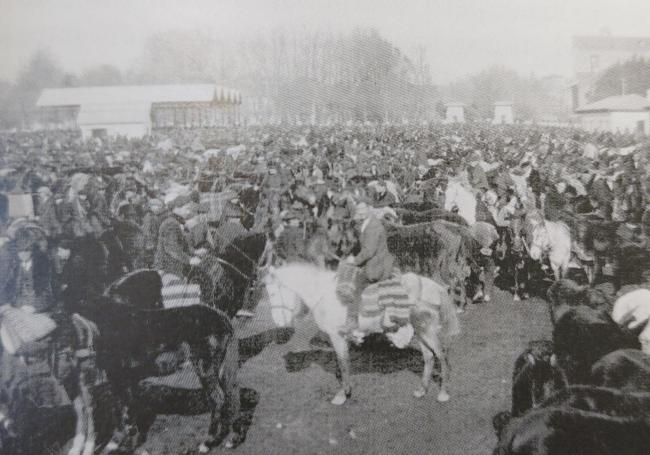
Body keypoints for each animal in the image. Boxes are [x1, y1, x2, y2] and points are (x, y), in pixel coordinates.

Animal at [260, 264, 458, 406]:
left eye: (274, 292)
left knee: (443, 356)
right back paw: (422, 390)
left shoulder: (337, 336)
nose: (278, 322)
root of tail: (434, 286)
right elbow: (344, 363)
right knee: (429, 357)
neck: (324, 294)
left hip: (427, 330)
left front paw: (342, 394)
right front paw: (346, 391)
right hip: (420, 331)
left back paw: (443, 393)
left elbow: (343, 363)